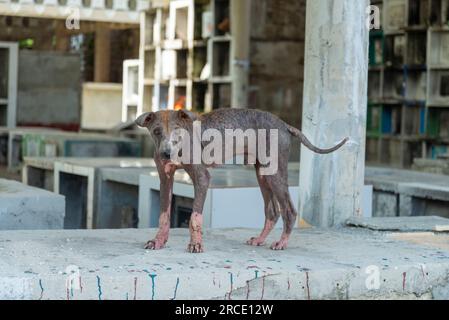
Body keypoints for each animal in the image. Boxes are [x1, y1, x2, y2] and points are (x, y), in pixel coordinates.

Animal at [135, 109, 348, 254]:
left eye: (177, 132)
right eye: (156, 131)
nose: (166, 153)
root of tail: (284, 125)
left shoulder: (202, 178)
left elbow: (195, 217)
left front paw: (196, 244)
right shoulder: (165, 180)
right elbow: (163, 216)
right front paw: (158, 241)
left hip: (275, 173)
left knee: (289, 210)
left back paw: (281, 243)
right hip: (262, 174)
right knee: (272, 211)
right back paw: (260, 240)